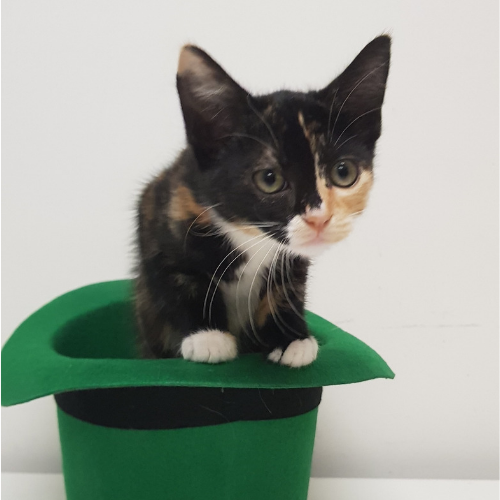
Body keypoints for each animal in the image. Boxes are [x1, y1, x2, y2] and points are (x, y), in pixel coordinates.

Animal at [135, 35, 390, 367]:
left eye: (343, 173)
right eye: (270, 179)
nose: (319, 218)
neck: (250, 236)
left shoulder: (292, 259)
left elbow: (286, 287)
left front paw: (290, 337)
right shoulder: (162, 206)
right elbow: (176, 276)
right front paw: (207, 336)